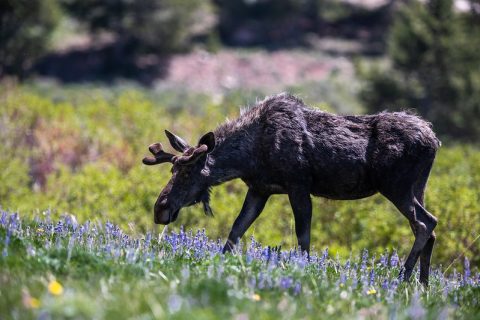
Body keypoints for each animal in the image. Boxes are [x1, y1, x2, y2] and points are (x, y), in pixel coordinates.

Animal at [142, 92, 438, 284]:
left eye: (188, 171)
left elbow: (303, 237)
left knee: (425, 223)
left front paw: (304, 272)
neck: (248, 157)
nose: (160, 209)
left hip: (396, 186)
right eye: (172, 170)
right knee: (429, 226)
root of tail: (435, 140)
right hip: (417, 187)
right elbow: (236, 230)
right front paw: (219, 265)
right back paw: (422, 285)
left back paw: (403, 278)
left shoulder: (298, 185)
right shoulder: (260, 189)